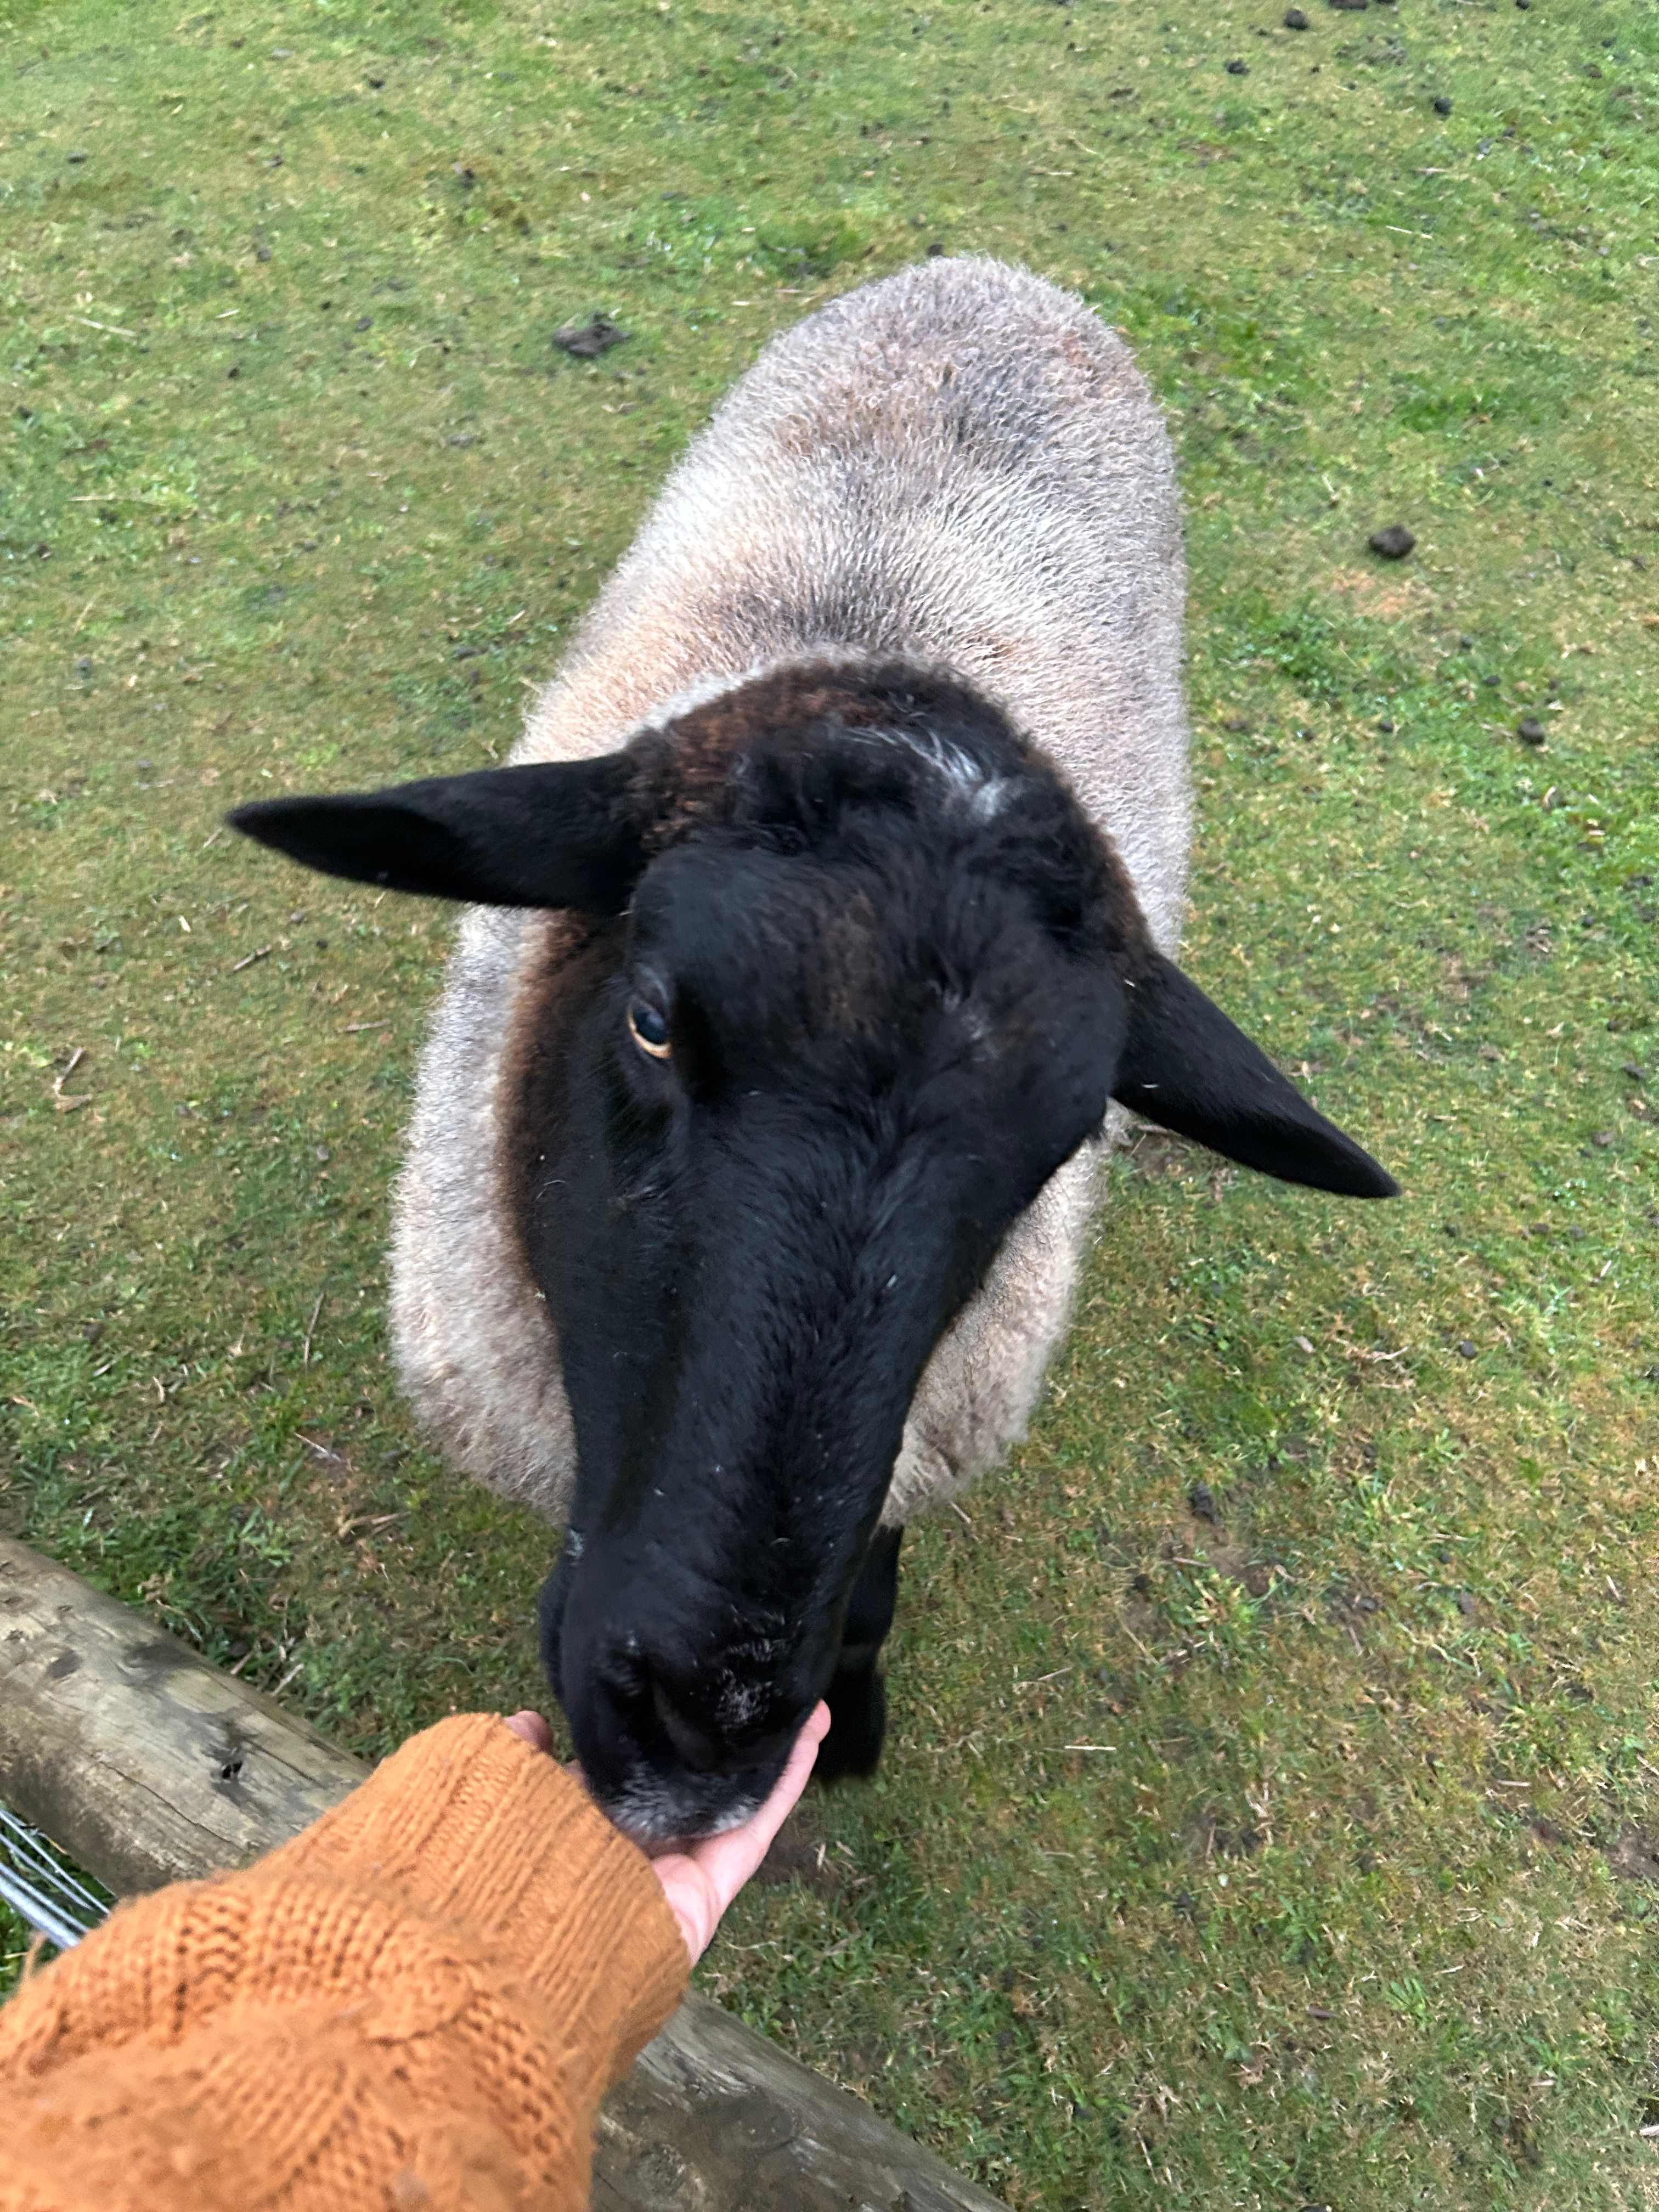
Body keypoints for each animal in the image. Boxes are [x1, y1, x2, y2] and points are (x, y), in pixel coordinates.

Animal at [232, 257, 1394, 1844]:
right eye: (653, 1019)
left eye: (1060, 1147)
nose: (702, 1740)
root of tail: (991, 268)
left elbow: (875, 1587)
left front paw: (849, 1720)